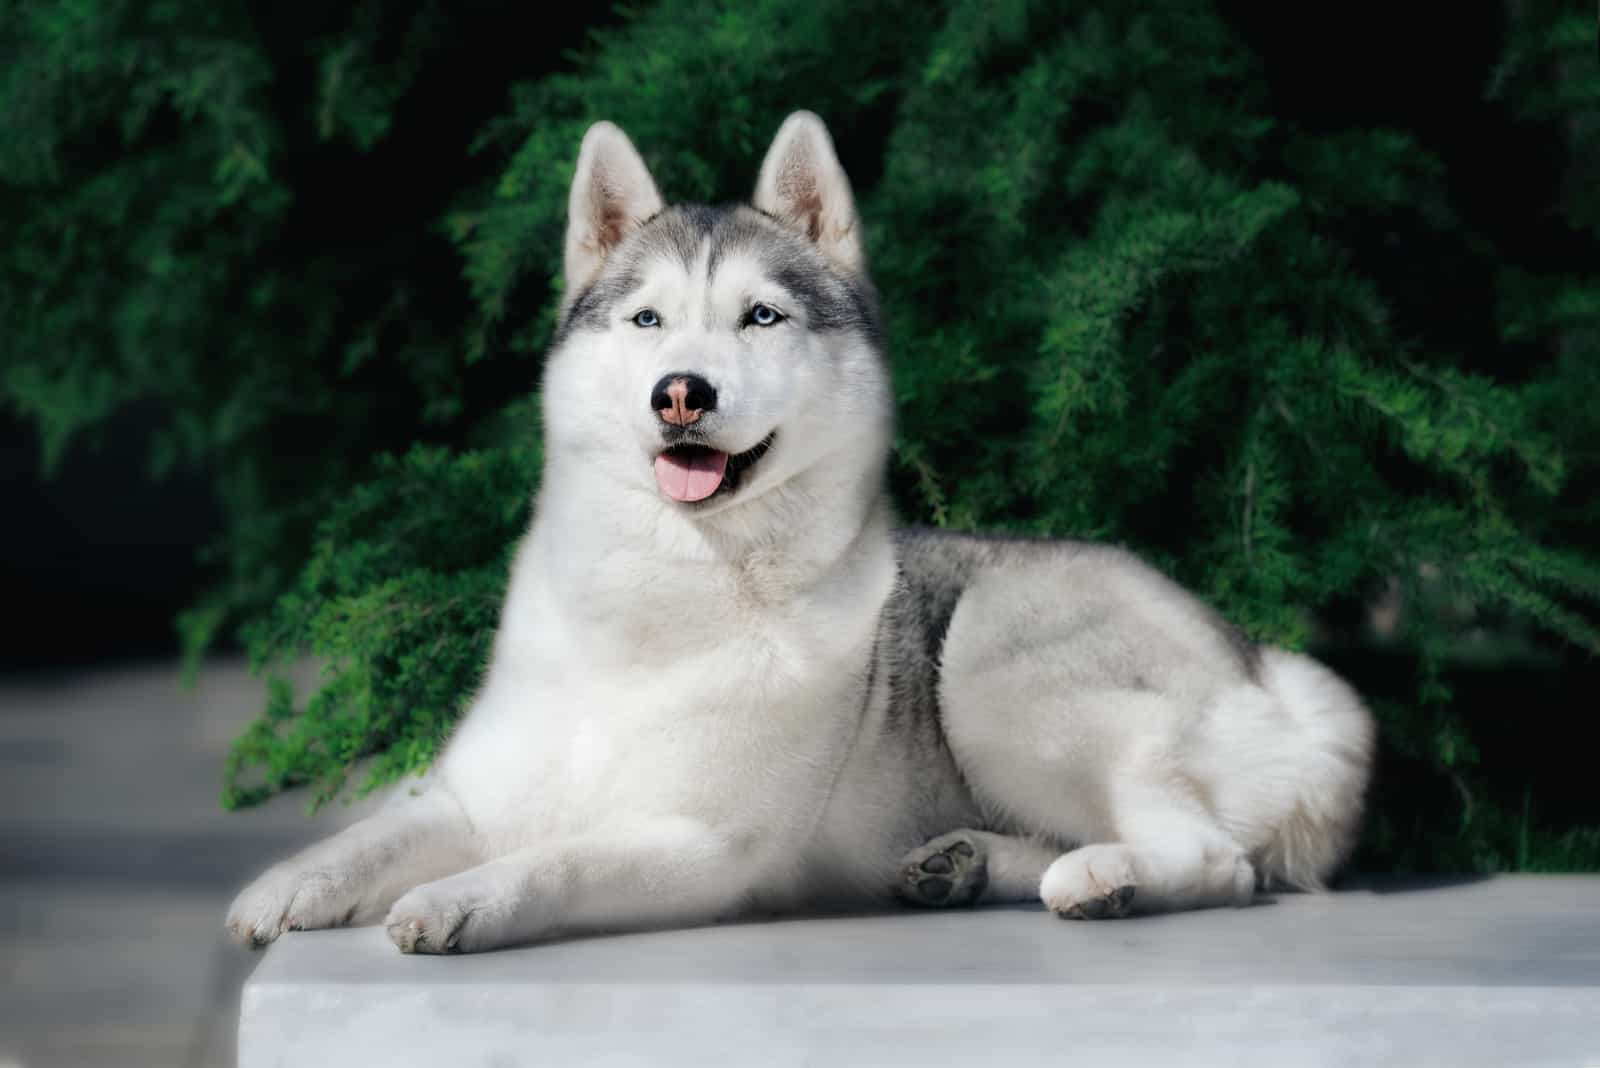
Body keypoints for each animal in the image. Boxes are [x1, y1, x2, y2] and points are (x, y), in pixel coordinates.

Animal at [225, 112, 1376, 952]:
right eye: (646, 319)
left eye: (761, 317)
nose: (680, 392)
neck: (658, 604)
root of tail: (1265, 665)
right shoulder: (475, 793)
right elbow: (383, 830)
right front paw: (291, 884)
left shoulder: (700, 844)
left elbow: (552, 860)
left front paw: (459, 900)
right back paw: (965, 864)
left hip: (990, 655)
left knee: (1216, 858)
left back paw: (1105, 879)